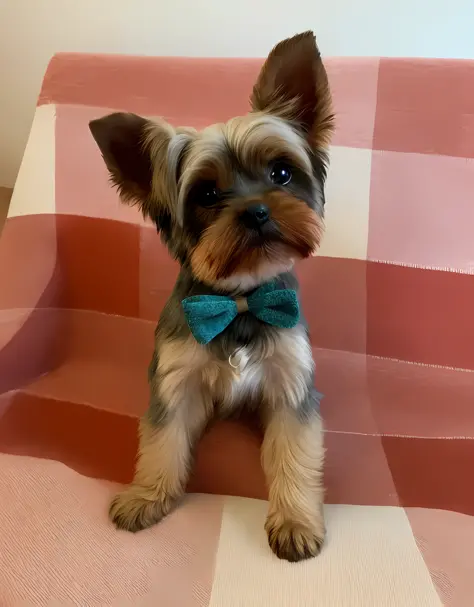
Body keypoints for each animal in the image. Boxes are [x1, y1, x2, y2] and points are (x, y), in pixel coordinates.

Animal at [89, 30, 334, 564]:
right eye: (205, 195)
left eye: (281, 173)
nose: (257, 211)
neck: (238, 300)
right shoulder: (175, 380)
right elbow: (162, 441)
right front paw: (146, 496)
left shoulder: (290, 384)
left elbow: (295, 453)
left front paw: (295, 521)